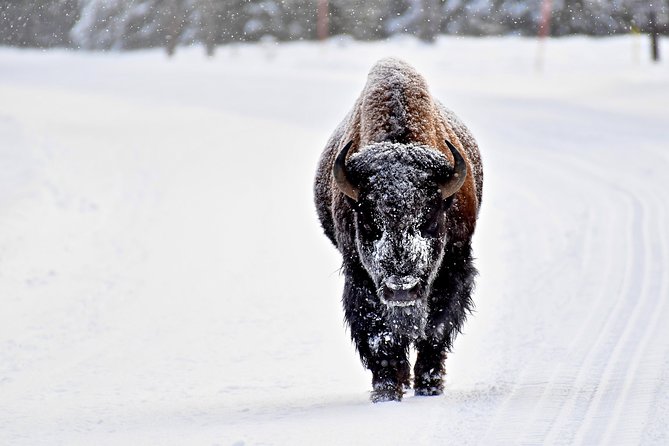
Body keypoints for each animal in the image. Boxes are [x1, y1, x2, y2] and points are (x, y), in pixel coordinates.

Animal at [314, 57, 480, 402]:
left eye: (429, 218)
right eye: (367, 221)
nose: (401, 288)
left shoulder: (454, 267)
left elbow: (435, 329)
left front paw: (429, 386)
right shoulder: (359, 276)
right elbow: (379, 335)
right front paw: (387, 390)